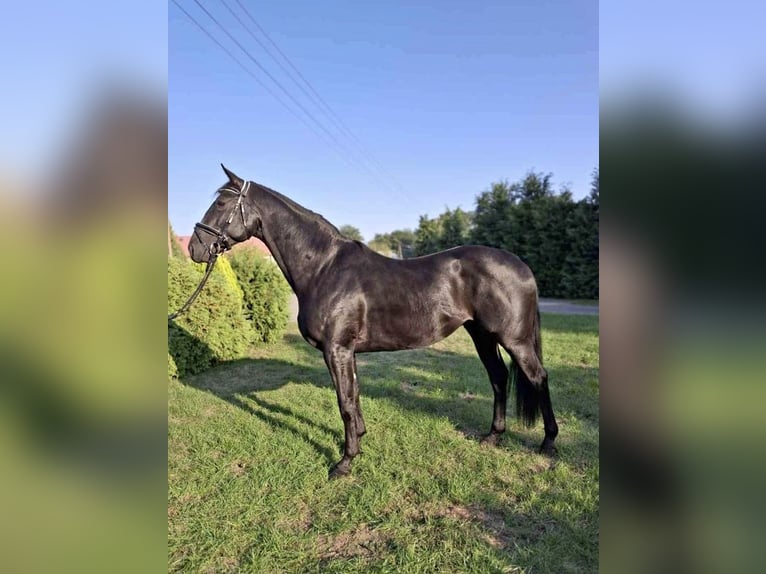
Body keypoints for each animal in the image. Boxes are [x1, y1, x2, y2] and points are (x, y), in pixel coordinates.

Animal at [186, 164, 560, 480]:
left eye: (221, 203)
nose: (194, 249)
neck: (323, 268)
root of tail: (521, 266)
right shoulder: (346, 351)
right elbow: (353, 397)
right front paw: (358, 442)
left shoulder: (336, 349)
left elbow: (344, 403)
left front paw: (344, 462)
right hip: (482, 335)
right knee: (498, 378)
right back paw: (493, 437)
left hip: (514, 339)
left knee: (537, 378)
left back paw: (548, 444)